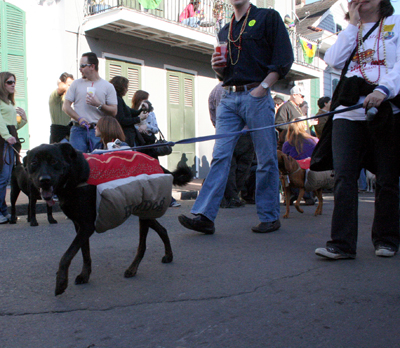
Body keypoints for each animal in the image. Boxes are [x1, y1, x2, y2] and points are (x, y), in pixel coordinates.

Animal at [26, 143, 192, 294]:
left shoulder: (87, 226)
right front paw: (85, 275)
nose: (44, 180)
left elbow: (66, 255)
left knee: (142, 246)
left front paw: (61, 282)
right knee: (162, 230)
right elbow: (85, 253)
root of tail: (158, 164)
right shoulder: (79, 225)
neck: (73, 176)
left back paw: (132, 269)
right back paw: (169, 255)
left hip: (145, 210)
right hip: (145, 212)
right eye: (33, 163)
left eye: (54, 161)